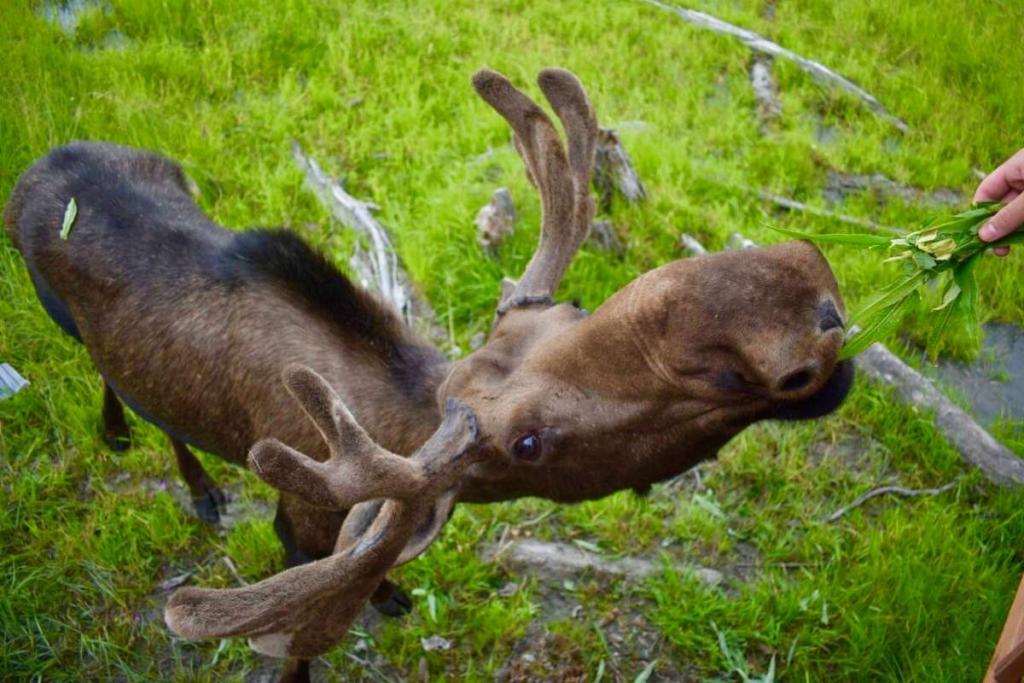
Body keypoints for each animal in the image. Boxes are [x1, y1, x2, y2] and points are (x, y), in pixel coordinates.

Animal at [5, 67, 853, 681]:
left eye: (573, 307)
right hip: (61, 317)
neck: (387, 419)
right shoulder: (299, 526)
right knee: (116, 383)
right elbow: (301, 640)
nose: (800, 292)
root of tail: (33, 168)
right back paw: (182, 476)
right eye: (527, 445)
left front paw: (391, 593)